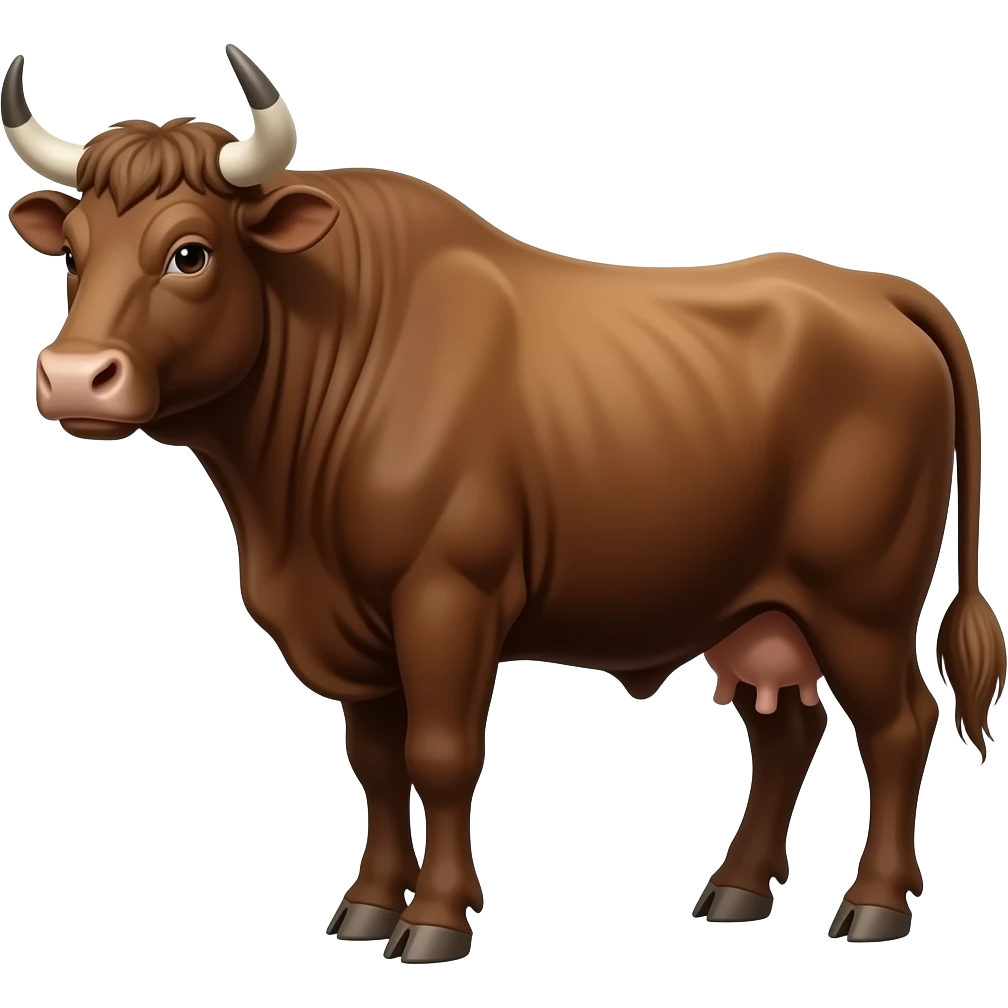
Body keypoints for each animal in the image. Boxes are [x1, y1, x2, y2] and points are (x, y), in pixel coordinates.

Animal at [4, 45, 1005, 961]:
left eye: (189, 253)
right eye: (74, 255)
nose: (73, 376)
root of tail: (873, 289)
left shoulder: (448, 597)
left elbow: (442, 756)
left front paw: (436, 920)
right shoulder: (357, 630)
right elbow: (375, 765)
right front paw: (367, 905)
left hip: (862, 603)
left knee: (898, 726)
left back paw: (872, 905)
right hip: (758, 608)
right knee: (787, 730)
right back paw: (734, 890)